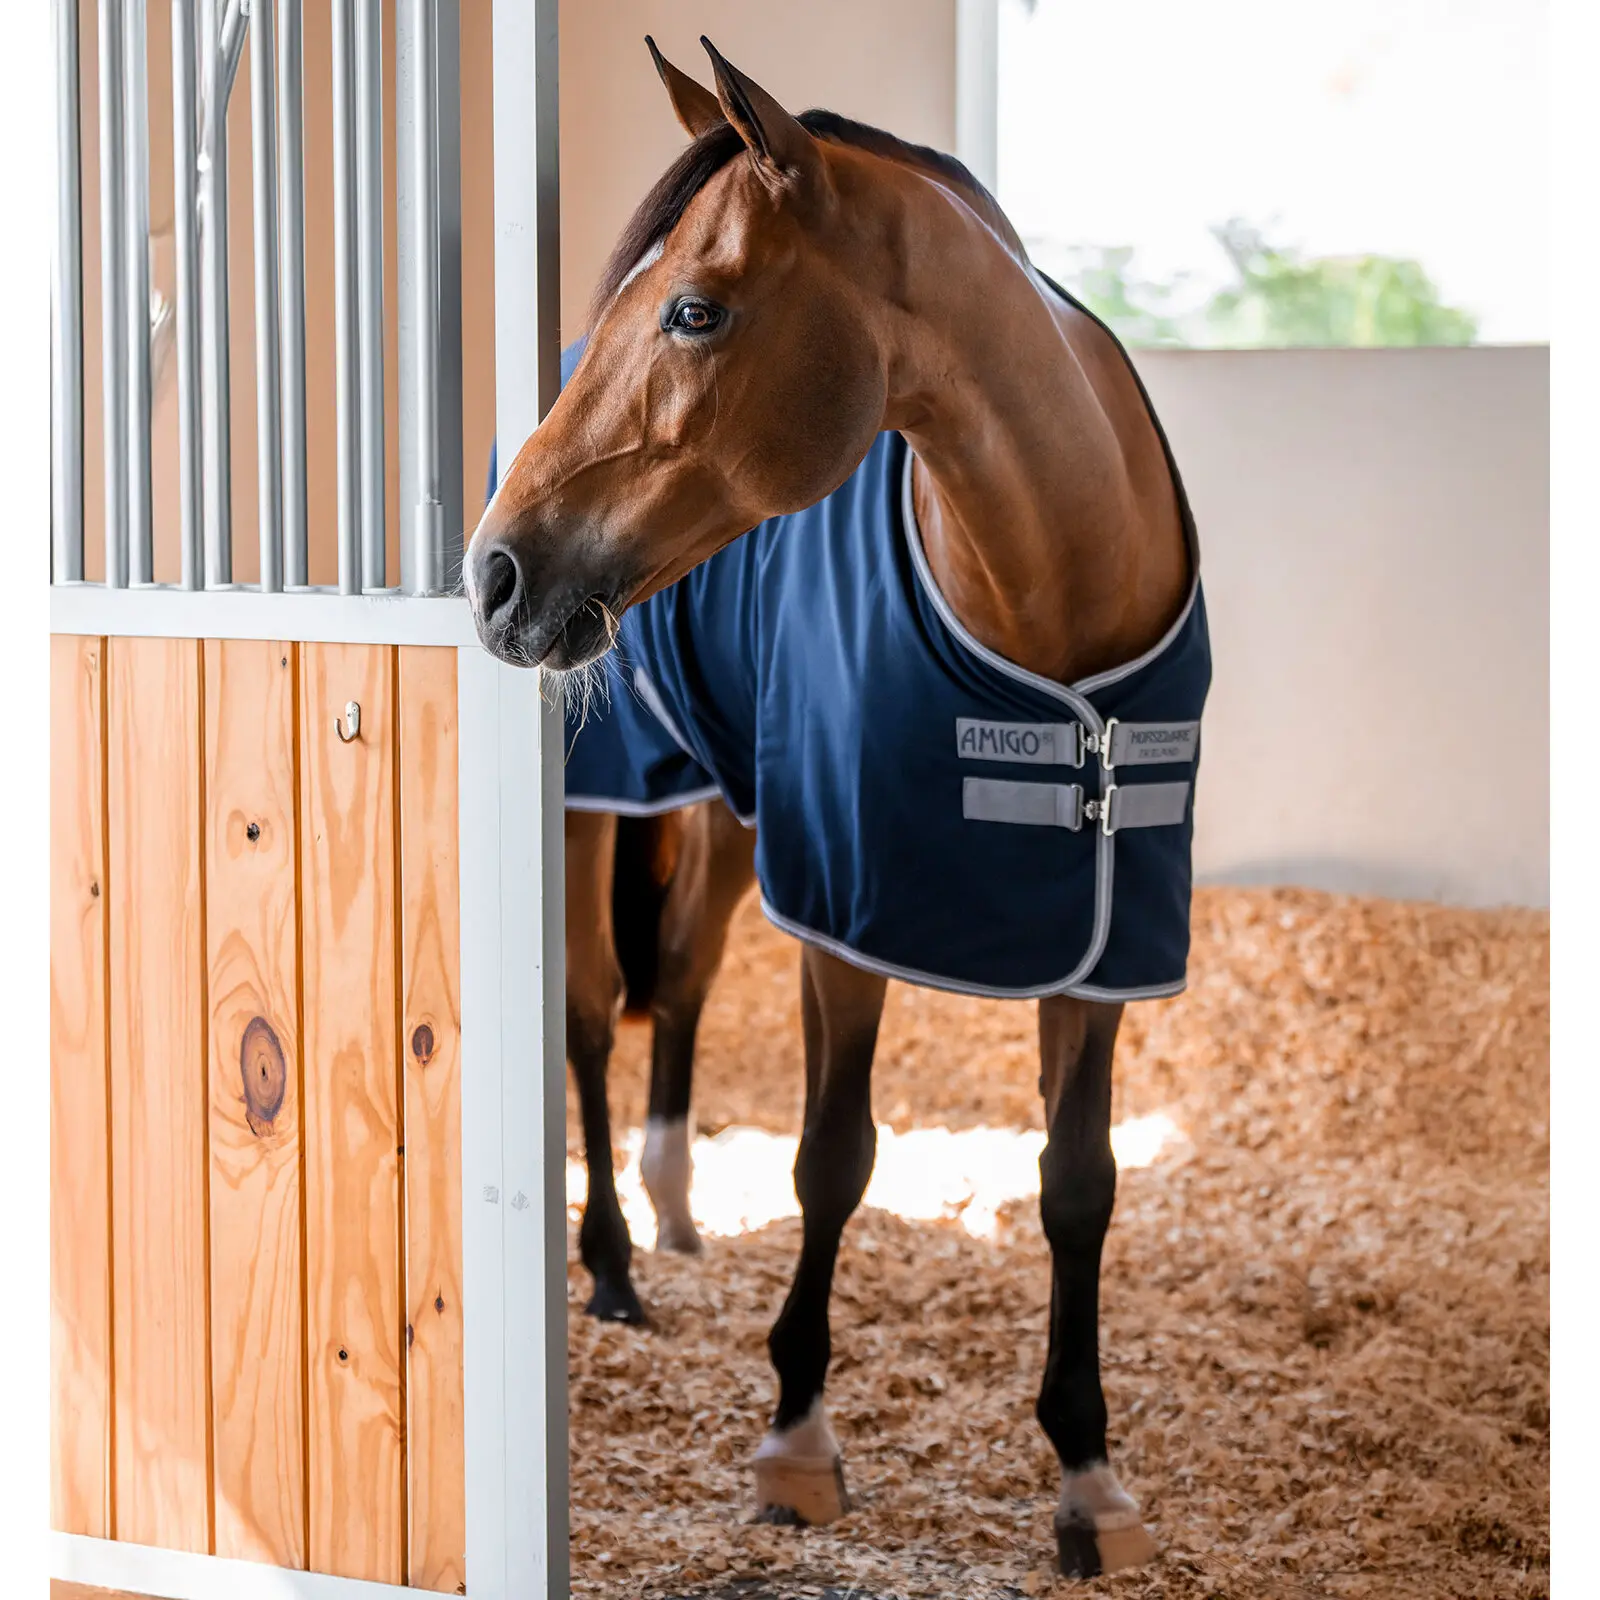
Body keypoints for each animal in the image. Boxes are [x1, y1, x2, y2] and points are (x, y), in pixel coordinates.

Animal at [467, 36, 1209, 1579]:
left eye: (694, 310)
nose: (493, 573)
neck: (1047, 602)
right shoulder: (847, 922)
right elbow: (832, 1159)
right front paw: (798, 1440)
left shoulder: (1104, 941)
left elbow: (1081, 1181)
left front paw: (1089, 1477)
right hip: (596, 802)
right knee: (590, 1012)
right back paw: (611, 1265)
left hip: (731, 817)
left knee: (682, 980)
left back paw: (677, 1213)